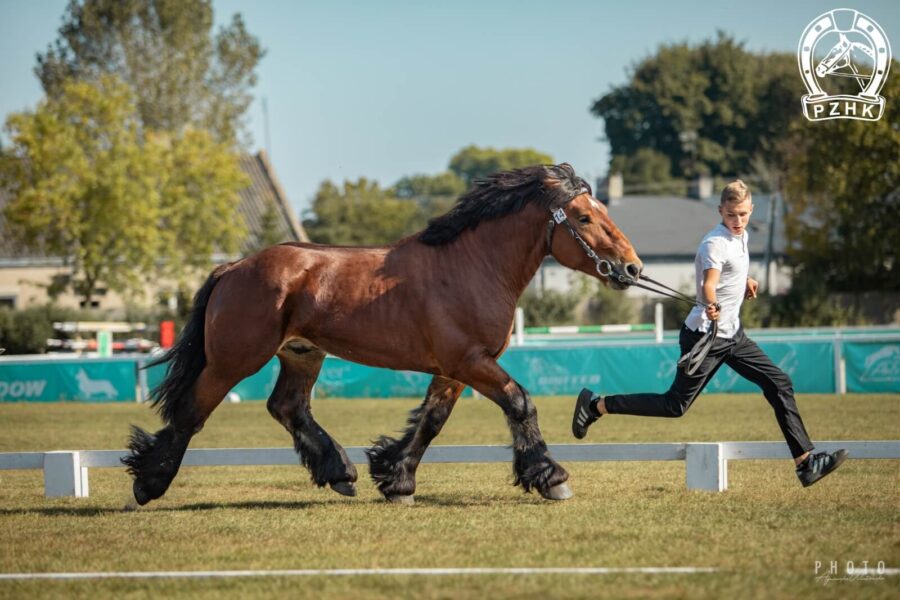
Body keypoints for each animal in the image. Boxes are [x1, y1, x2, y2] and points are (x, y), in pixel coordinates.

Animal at [123, 164, 644, 506]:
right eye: (583, 217)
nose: (632, 268)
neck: (471, 267)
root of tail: (233, 268)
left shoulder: (454, 370)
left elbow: (431, 422)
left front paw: (396, 480)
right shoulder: (470, 362)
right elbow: (520, 403)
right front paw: (551, 478)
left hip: (302, 355)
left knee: (287, 407)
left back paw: (341, 472)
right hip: (235, 360)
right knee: (192, 411)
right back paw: (148, 484)